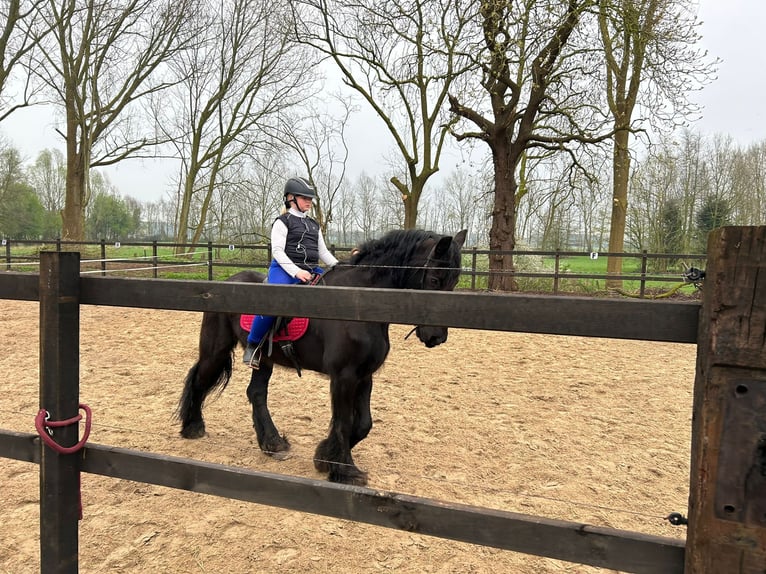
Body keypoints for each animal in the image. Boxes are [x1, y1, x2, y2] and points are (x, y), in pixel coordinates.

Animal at [178, 230, 468, 486]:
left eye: (454, 282)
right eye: (434, 280)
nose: (437, 337)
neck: (359, 303)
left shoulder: (364, 376)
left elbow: (363, 424)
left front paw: (323, 457)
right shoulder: (344, 377)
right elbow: (343, 422)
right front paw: (344, 471)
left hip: (264, 361)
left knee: (256, 394)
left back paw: (273, 444)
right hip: (216, 351)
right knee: (199, 379)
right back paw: (192, 427)